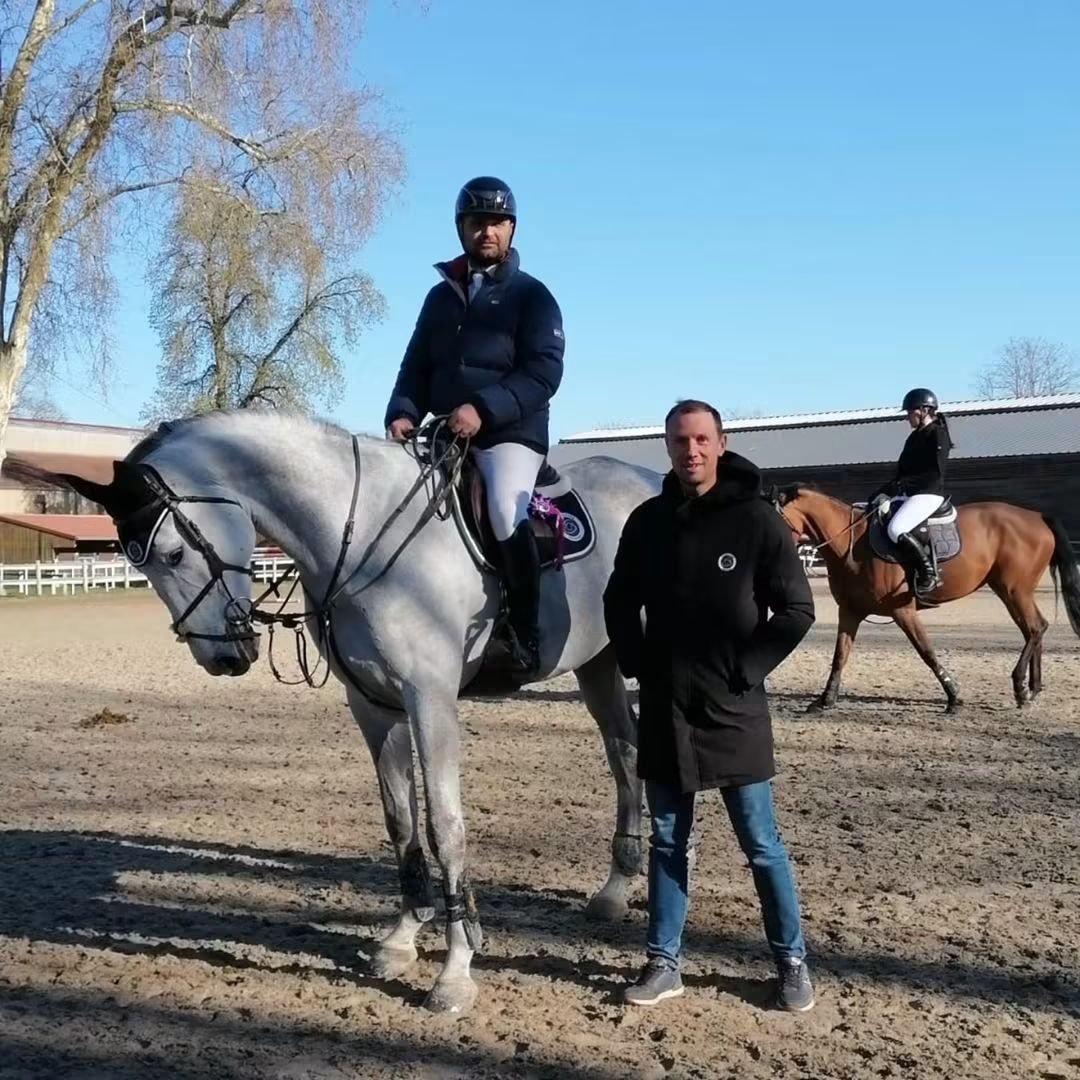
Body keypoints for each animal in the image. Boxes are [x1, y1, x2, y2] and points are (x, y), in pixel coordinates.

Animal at [5, 410, 659, 1016]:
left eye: (170, 551)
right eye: (134, 561)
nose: (224, 657)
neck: (368, 532)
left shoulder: (430, 700)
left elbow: (445, 828)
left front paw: (455, 972)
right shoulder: (373, 704)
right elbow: (401, 822)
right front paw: (402, 938)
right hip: (597, 665)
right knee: (625, 755)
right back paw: (614, 890)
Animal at [771, 485, 1080, 712]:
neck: (851, 543)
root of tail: (1037, 516)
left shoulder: (903, 611)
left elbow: (926, 651)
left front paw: (954, 697)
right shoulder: (849, 611)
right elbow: (839, 656)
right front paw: (825, 700)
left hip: (1014, 589)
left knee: (1035, 628)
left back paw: (1020, 687)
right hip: (1010, 590)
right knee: (1033, 629)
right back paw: (1031, 690)